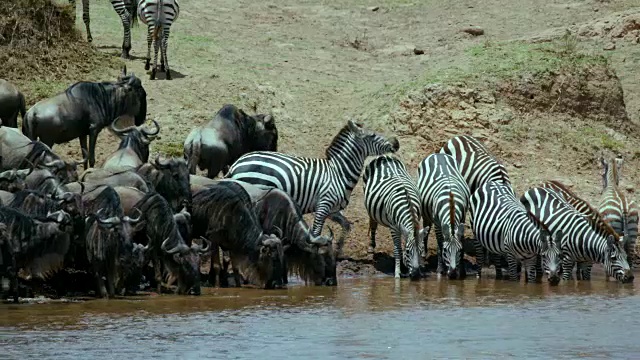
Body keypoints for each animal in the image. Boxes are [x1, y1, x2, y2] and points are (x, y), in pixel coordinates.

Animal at [228, 119, 398, 258]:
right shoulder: (323, 205)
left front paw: (338, 253)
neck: (339, 172)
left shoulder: (332, 209)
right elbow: (315, 234)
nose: (396, 142)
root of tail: (236, 164)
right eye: (372, 135)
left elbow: (346, 226)